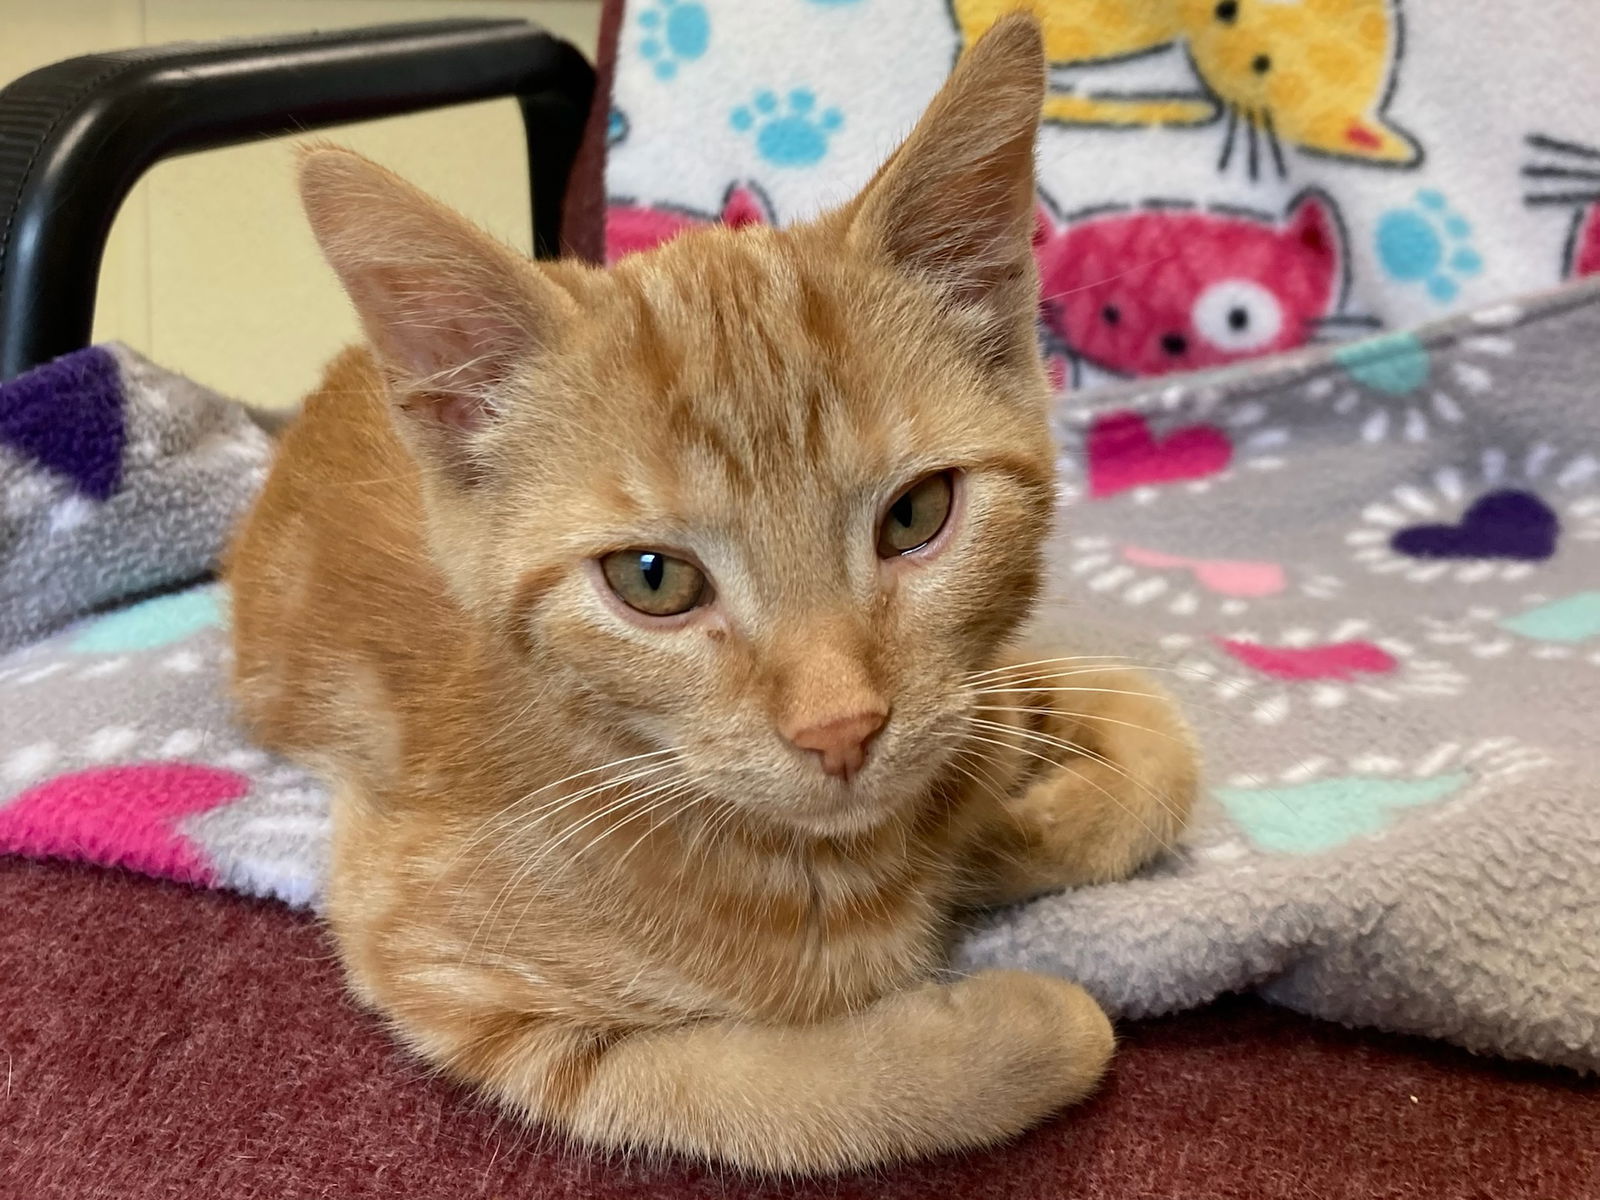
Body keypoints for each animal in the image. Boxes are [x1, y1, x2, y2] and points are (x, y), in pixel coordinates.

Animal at [232, 16, 1196, 1177]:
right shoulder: (438, 964)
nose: (841, 728)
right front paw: (1023, 1018)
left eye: (916, 515)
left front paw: (1012, 833)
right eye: (653, 579)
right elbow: (782, 1095)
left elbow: (1155, 741)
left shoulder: (982, 684)